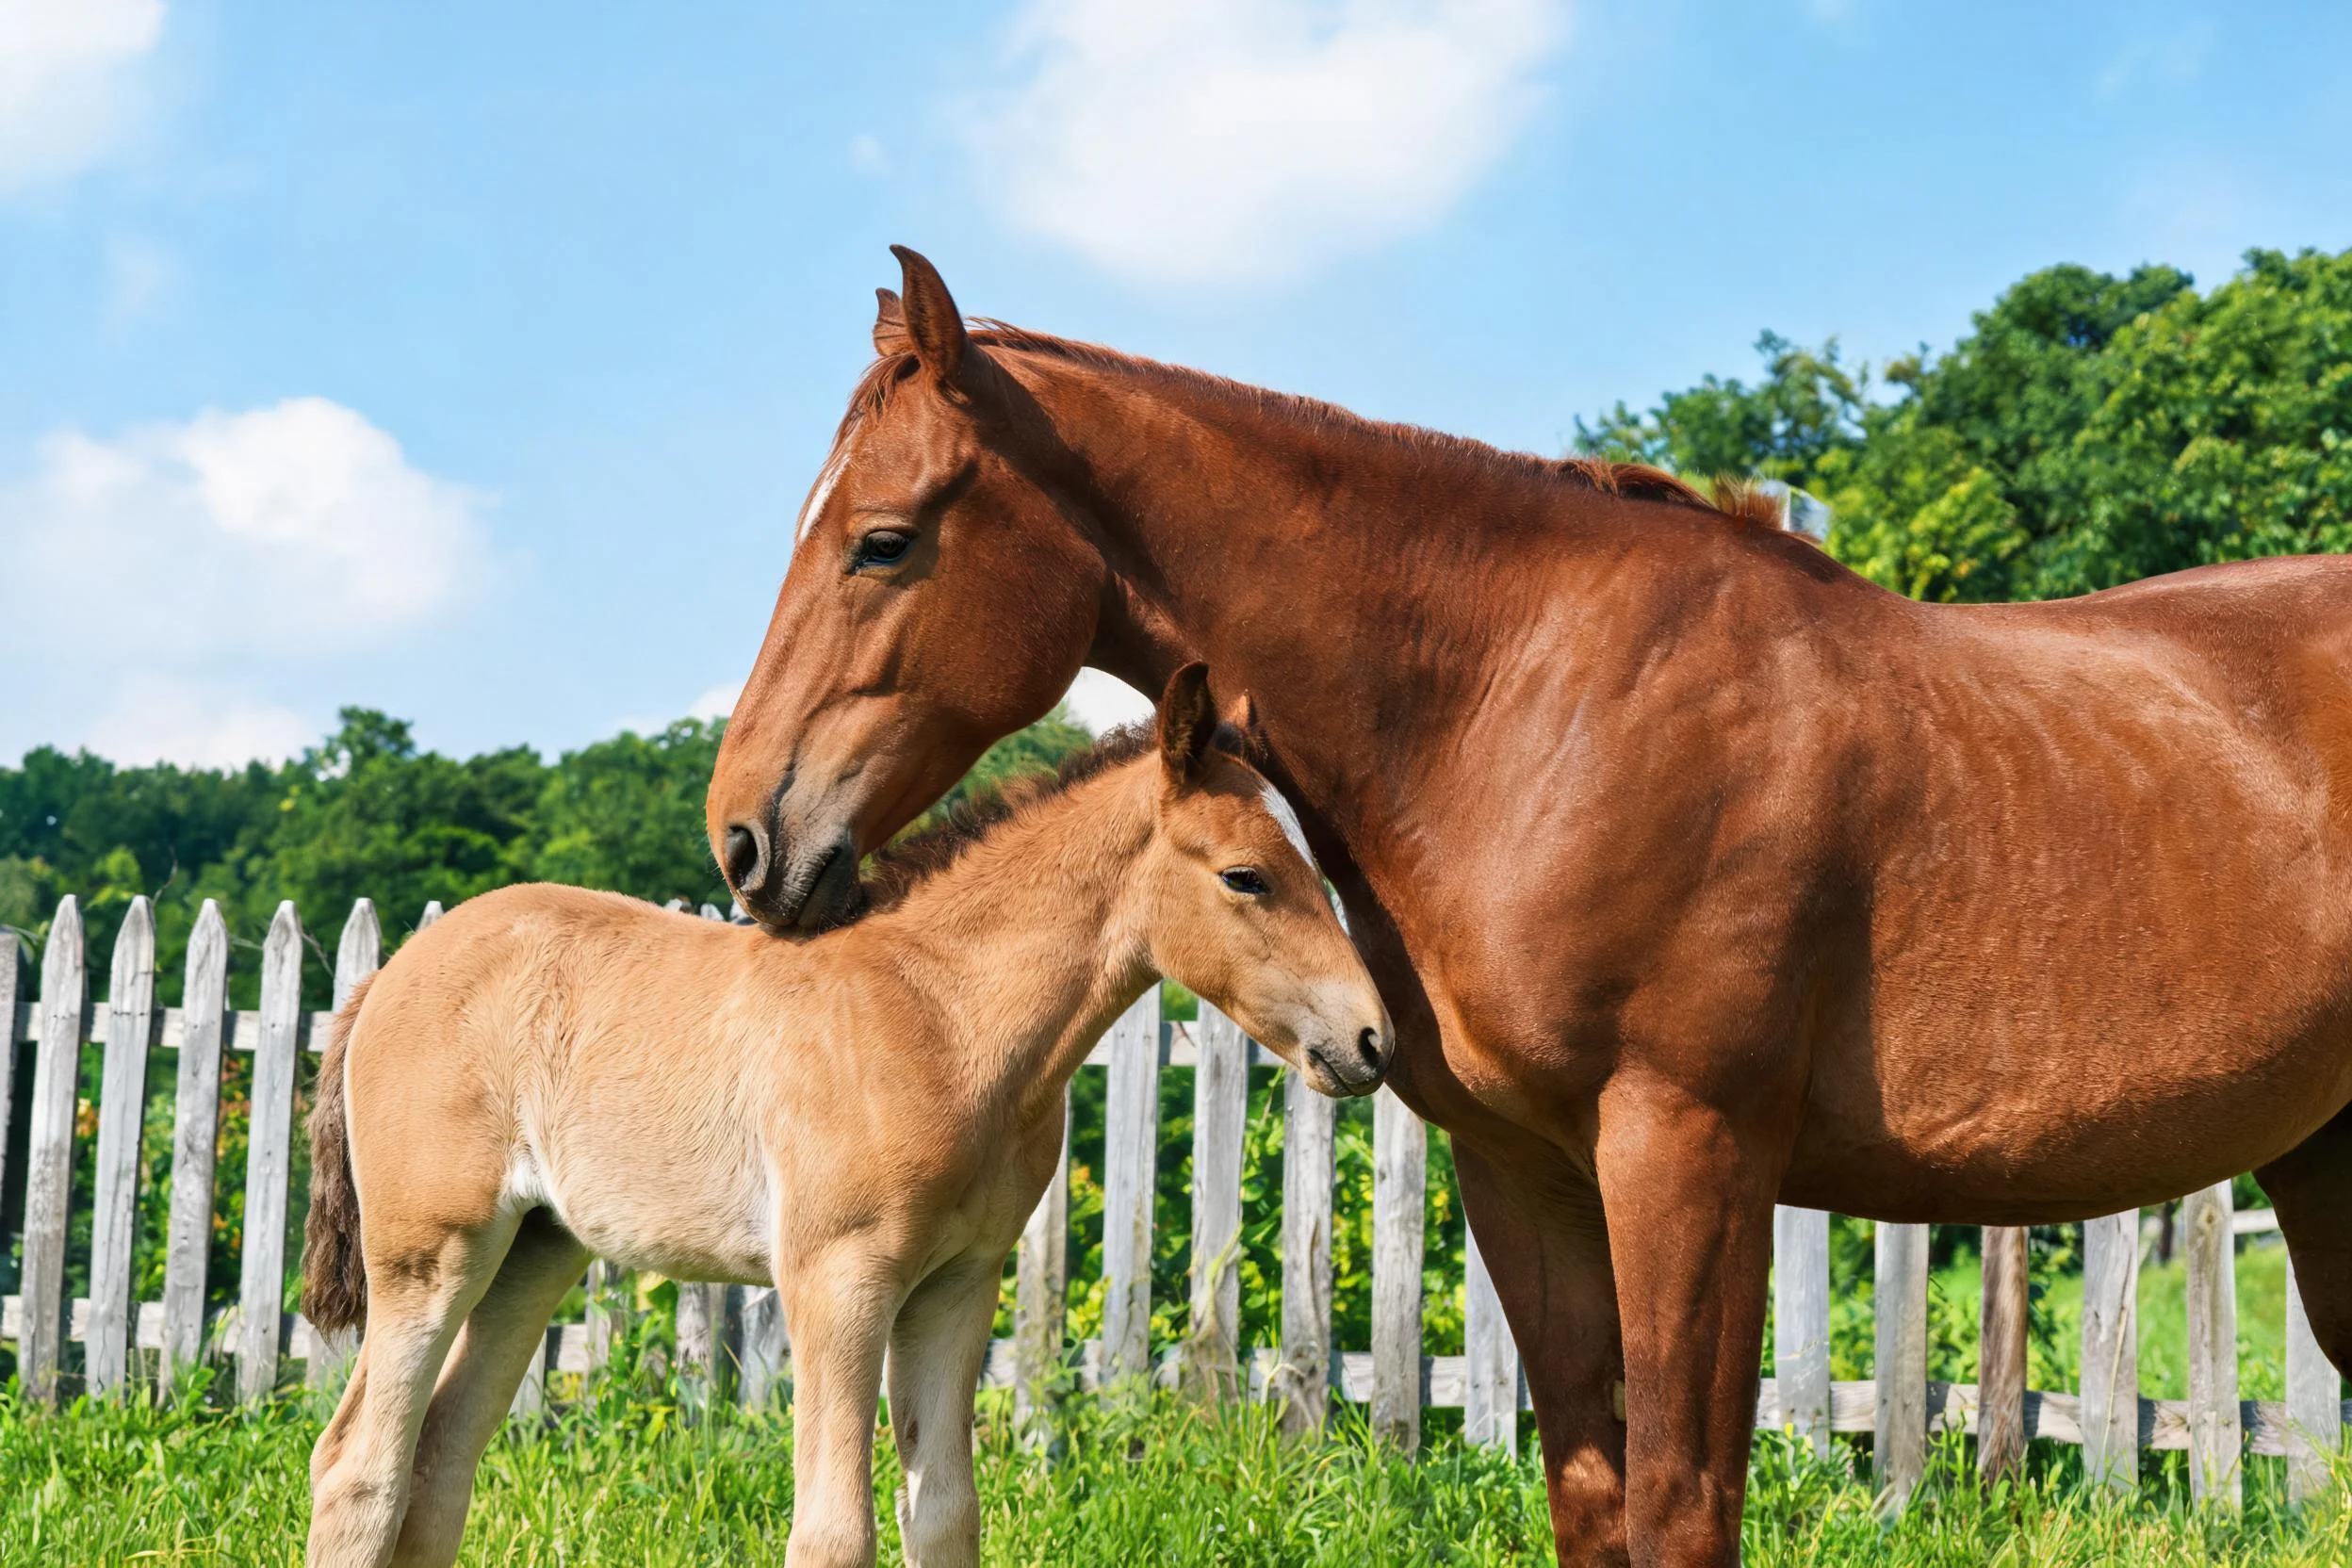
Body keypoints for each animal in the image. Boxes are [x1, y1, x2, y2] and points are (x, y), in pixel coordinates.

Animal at [298, 665, 1394, 1568]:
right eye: (1246, 875)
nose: (1373, 1039)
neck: (941, 1014)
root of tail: (386, 976)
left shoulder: (957, 1285)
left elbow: (943, 1515)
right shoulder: (837, 1278)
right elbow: (833, 1533)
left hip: (536, 1248)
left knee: (441, 1460)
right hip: (432, 1252)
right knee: (359, 1464)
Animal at [704, 245, 2352, 1565]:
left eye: (884, 539)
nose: (744, 843)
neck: (1524, 703)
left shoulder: (1688, 1152)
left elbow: (1683, 1503)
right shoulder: (1521, 1172)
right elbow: (1593, 1493)